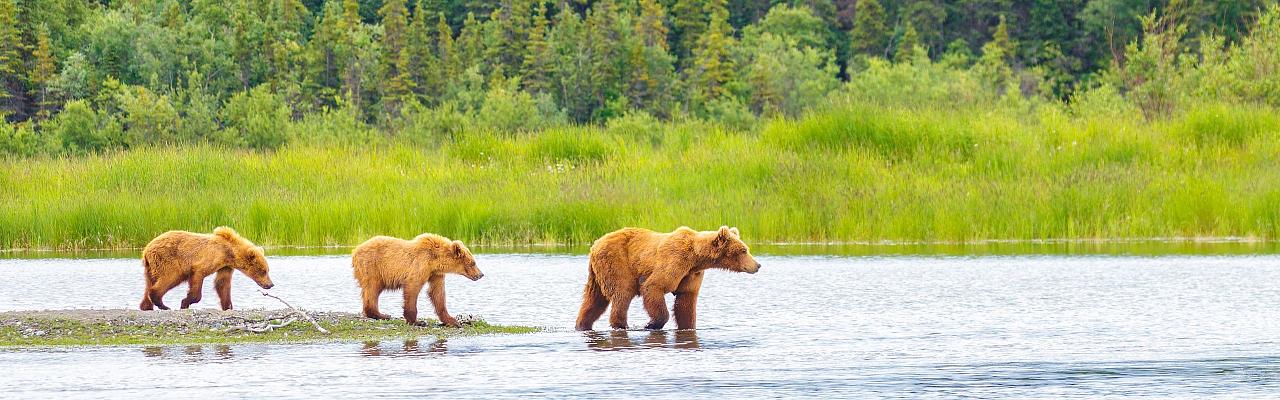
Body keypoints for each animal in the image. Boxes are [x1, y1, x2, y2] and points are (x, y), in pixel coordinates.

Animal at [137, 226, 272, 311]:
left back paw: (146, 306)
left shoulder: (225, 266)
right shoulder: (209, 259)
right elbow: (198, 276)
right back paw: (162, 304)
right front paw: (185, 302)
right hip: (168, 260)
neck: (229, 252)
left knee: (149, 282)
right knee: (170, 277)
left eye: (267, 270)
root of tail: (146, 249)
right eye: (263, 271)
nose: (270, 284)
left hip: (151, 267)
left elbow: (222, 283)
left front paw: (228, 306)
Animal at [350, 233, 483, 326]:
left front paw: (452, 321)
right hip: (373, 266)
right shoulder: (421, 264)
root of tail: (355, 250)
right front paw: (417, 321)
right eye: (473, 263)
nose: (481, 274)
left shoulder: (435, 274)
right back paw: (382, 315)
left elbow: (437, 293)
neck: (435, 260)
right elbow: (413, 287)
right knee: (372, 288)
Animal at [573, 225, 757, 330]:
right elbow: (654, 286)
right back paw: (621, 325)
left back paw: (582, 324)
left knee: (594, 299)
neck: (696, 258)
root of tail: (595, 244)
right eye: (744, 250)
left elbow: (685, 302)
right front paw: (651, 324)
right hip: (616, 263)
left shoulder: (690, 274)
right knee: (622, 293)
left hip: (597, 273)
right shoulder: (675, 260)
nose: (757, 265)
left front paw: (687, 326)